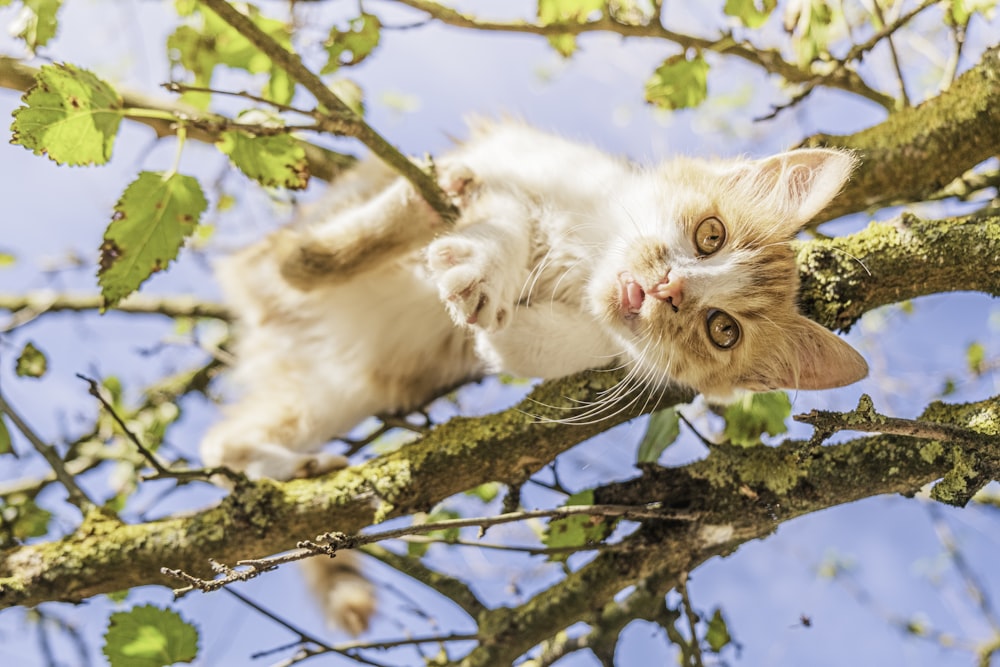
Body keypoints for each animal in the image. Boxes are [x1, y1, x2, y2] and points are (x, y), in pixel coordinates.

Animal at [197, 122, 868, 636]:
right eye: (711, 235)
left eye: (721, 330)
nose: (670, 290)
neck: (583, 255)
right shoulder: (529, 160)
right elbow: (509, 216)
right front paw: (485, 265)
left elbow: (555, 344)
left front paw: (508, 332)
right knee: (294, 261)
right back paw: (418, 200)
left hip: (340, 389)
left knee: (221, 440)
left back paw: (292, 469)